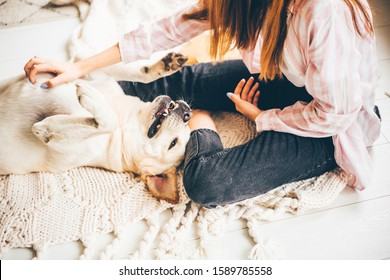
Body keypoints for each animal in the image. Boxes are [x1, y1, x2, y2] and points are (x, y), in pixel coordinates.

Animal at [0, 53, 192, 205]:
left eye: (172, 144)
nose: (187, 113)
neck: (124, 116)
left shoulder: (60, 146)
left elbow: (107, 121)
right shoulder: (96, 73)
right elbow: (135, 73)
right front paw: (165, 65)